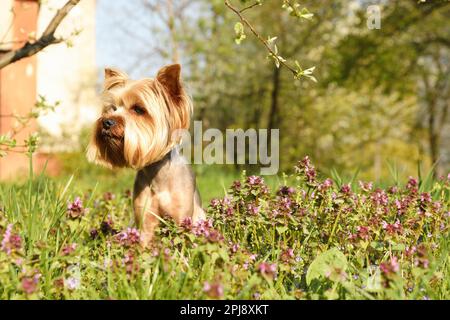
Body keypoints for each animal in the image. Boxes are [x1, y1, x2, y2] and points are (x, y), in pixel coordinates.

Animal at [86, 63, 206, 246]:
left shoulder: (181, 217)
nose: (107, 122)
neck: (158, 174)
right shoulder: (145, 218)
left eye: (138, 109)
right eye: (112, 108)